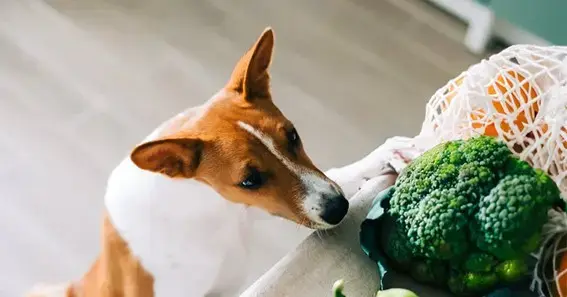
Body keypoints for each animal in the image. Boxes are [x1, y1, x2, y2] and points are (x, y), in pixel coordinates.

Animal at [27, 27, 412, 296]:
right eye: (249, 180)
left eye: (293, 136)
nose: (338, 208)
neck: (209, 213)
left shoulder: (259, 208)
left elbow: (335, 174)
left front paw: (388, 154)